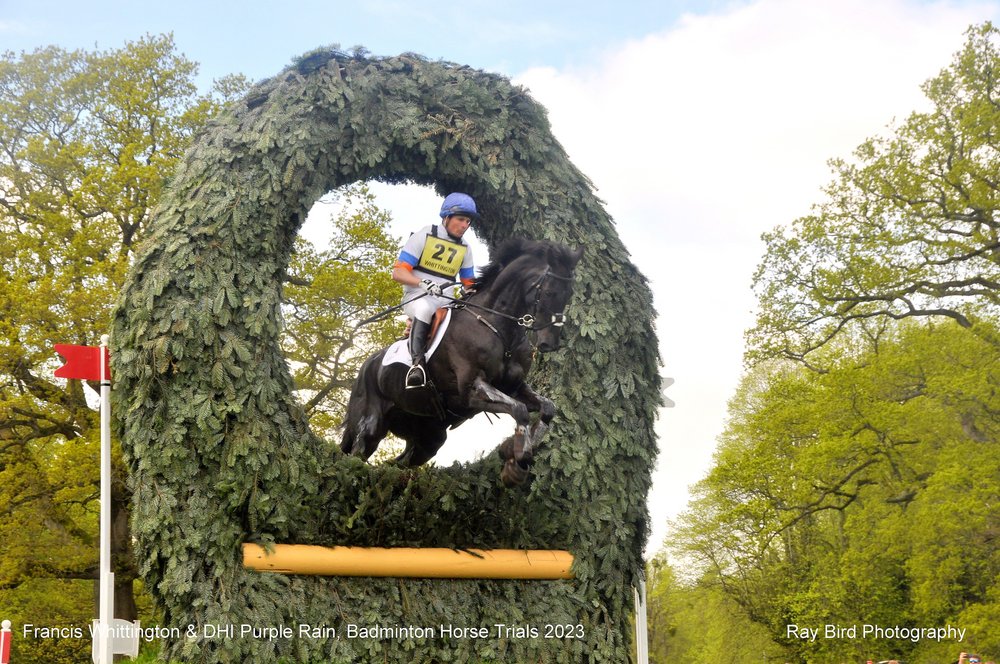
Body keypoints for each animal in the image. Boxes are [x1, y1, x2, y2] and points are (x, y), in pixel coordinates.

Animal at [340, 236, 584, 486]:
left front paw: (512, 453)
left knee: (399, 462)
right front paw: (518, 460)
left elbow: (547, 408)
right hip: (371, 423)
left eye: (569, 294)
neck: (497, 326)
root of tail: (366, 365)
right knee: (356, 454)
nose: (549, 343)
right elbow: (520, 410)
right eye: (549, 292)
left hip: (428, 435)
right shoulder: (471, 390)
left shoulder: (514, 387)